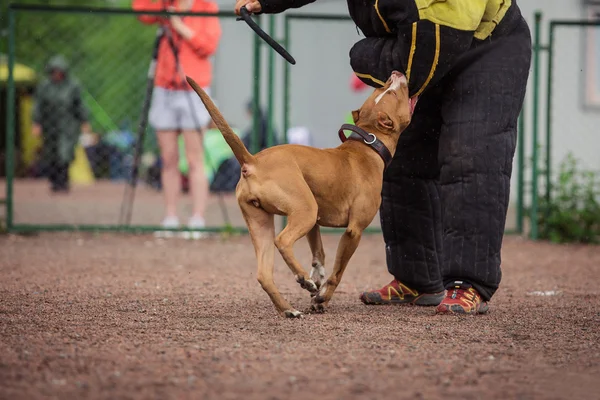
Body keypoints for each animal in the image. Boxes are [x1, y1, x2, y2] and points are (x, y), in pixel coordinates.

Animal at [185, 71, 414, 316]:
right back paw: (303, 279)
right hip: (305, 211)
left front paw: (318, 285)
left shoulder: (316, 223)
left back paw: (289, 310)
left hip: (264, 222)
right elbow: (338, 272)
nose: (397, 73)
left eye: (382, 89)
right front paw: (322, 297)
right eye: (392, 92)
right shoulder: (354, 231)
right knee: (283, 241)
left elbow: (319, 254)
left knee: (263, 274)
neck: (367, 146)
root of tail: (252, 162)